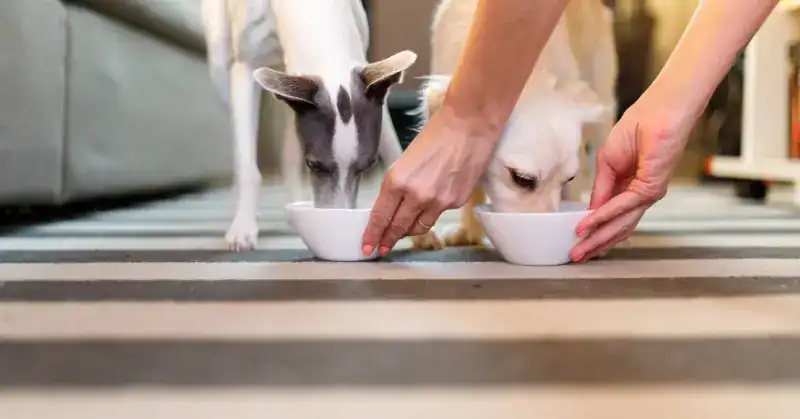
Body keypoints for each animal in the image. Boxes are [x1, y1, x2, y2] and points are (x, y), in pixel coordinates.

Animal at [202, 0, 435, 251]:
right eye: (314, 165)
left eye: (368, 165)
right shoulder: (245, 67)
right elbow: (247, 166)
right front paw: (243, 227)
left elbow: (392, 149)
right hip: (220, 60)